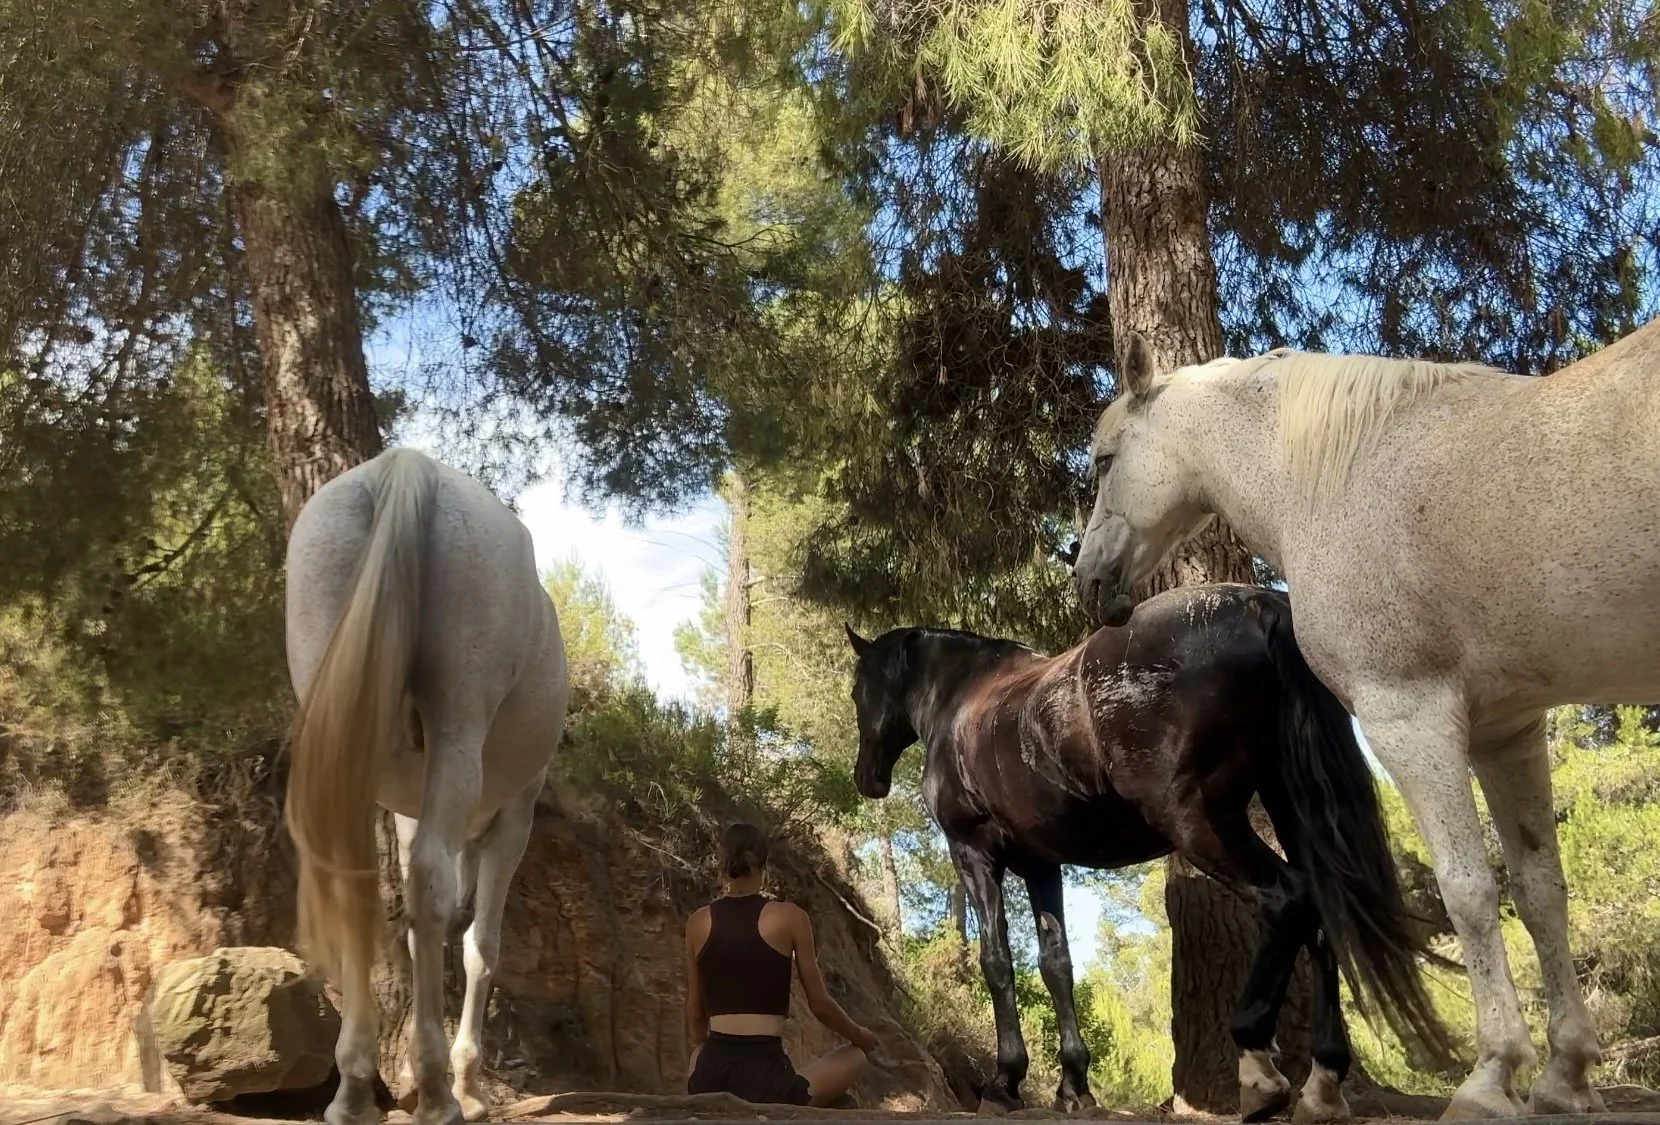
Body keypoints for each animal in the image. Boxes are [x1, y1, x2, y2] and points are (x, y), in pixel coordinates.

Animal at [284, 447, 569, 1125]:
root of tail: (408, 468)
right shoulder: (513, 819)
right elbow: (480, 946)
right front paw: (467, 1083)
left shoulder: (411, 811)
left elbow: (421, 935)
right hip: (459, 724)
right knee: (434, 891)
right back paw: (439, 1094)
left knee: (357, 891)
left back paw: (354, 1090)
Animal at [845, 583, 1454, 1122]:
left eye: (858, 691)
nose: (867, 779)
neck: (966, 700)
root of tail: (1260, 604)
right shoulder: (1042, 865)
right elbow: (1056, 964)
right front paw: (1074, 1087)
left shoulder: (974, 853)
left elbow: (997, 962)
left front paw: (1005, 1083)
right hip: (1289, 809)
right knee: (1321, 915)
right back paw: (1323, 1084)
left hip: (1199, 822)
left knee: (1286, 901)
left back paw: (1259, 1069)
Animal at [1070, 323, 1660, 1120]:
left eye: (1105, 460)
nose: (1087, 578)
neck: (1340, 477)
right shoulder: (1508, 733)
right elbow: (1542, 893)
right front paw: (1565, 1074)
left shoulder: (1408, 718)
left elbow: (1469, 893)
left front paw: (1492, 1074)